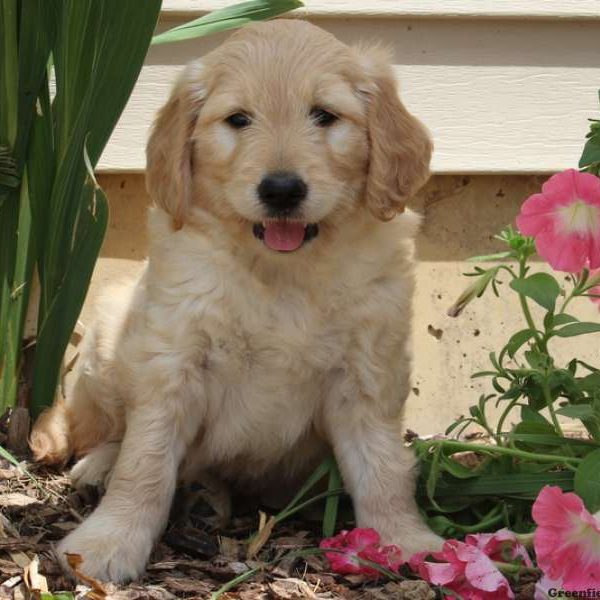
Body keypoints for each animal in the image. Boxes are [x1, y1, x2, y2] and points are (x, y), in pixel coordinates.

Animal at [31, 18, 440, 580]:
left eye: (325, 115)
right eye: (238, 120)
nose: (282, 189)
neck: (278, 271)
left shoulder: (367, 371)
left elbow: (384, 467)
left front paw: (406, 539)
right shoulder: (174, 359)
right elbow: (145, 460)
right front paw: (109, 540)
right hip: (107, 348)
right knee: (106, 432)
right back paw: (103, 465)